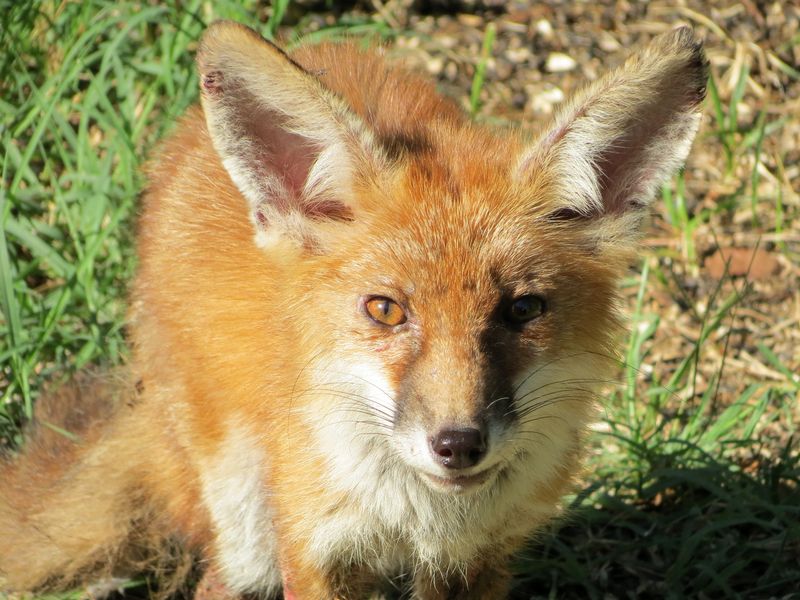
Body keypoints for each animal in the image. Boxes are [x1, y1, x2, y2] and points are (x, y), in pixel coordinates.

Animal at [0, 21, 707, 599]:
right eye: (386, 310)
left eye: (523, 309)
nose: (458, 444)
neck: (418, 517)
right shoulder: (315, 548)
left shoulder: (476, 561)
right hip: (243, 515)